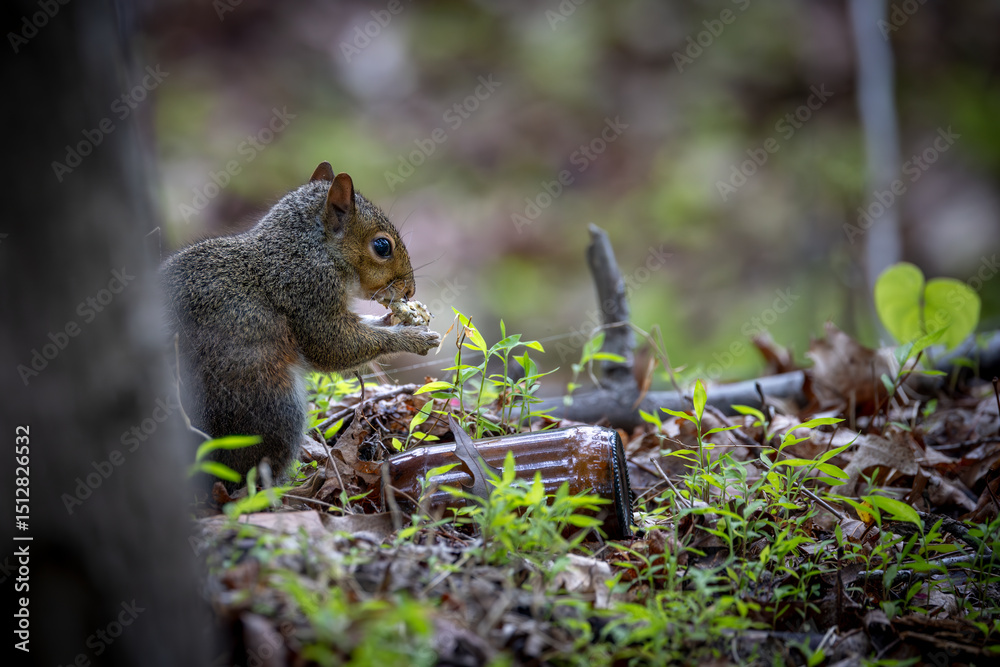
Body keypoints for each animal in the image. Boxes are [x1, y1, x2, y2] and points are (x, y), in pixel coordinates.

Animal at [161, 161, 440, 489]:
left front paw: (392, 318)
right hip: (270, 405)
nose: (409, 291)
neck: (307, 249)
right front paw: (411, 337)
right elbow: (334, 345)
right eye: (382, 246)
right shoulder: (308, 292)